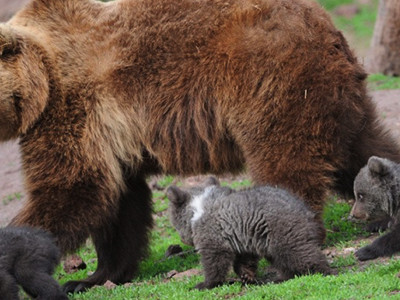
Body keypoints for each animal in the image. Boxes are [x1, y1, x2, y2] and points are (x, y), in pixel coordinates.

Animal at [0, 0, 398, 292]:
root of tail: (324, 26)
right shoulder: (107, 134)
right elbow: (119, 207)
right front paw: (94, 276)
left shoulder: (72, 106)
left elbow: (72, 190)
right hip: (337, 99)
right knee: (362, 151)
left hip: (272, 82)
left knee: (285, 163)